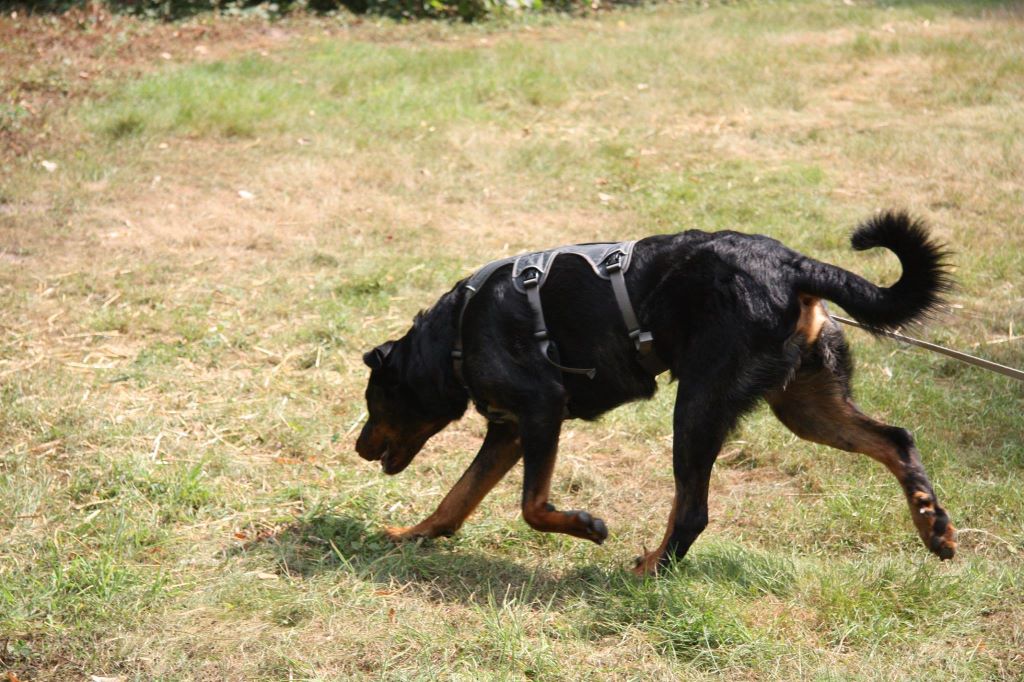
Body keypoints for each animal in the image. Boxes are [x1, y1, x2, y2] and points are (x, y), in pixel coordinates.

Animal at [356, 211, 956, 574]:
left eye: (372, 402)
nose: (358, 447)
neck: (457, 335)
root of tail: (793, 265)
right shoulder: (510, 431)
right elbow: (456, 499)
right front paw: (408, 534)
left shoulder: (541, 411)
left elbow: (531, 507)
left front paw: (587, 526)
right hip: (805, 405)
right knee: (896, 439)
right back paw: (933, 524)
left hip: (697, 406)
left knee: (692, 511)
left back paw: (651, 568)